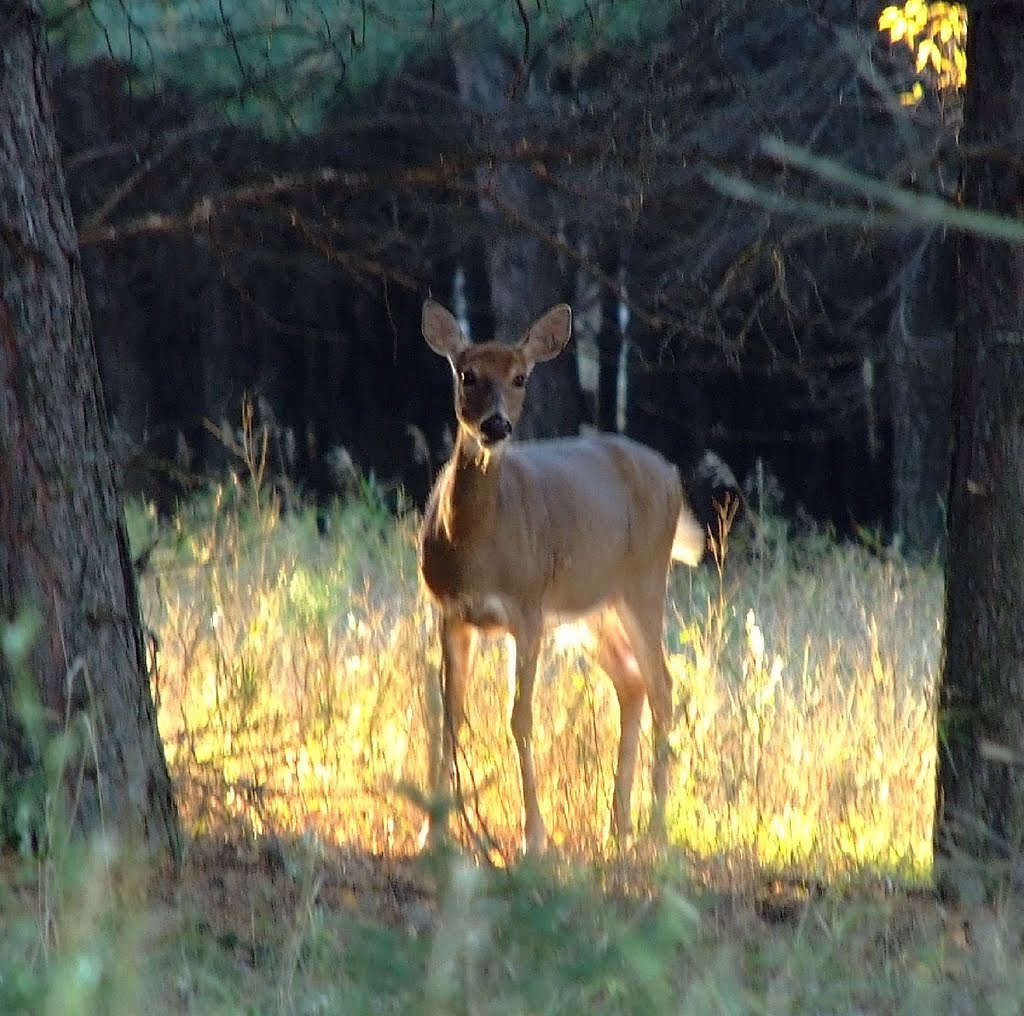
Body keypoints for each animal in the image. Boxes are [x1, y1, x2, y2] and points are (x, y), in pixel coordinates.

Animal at [415, 297, 704, 852]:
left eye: (521, 377)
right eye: (467, 374)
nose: (496, 426)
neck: (477, 551)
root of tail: (672, 476)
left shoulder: (527, 610)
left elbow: (520, 718)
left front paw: (534, 836)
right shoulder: (449, 613)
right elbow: (449, 716)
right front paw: (431, 832)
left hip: (644, 583)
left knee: (663, 687)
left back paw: (653, 831)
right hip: (592, 610)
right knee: (631, 682)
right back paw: (618, 825)